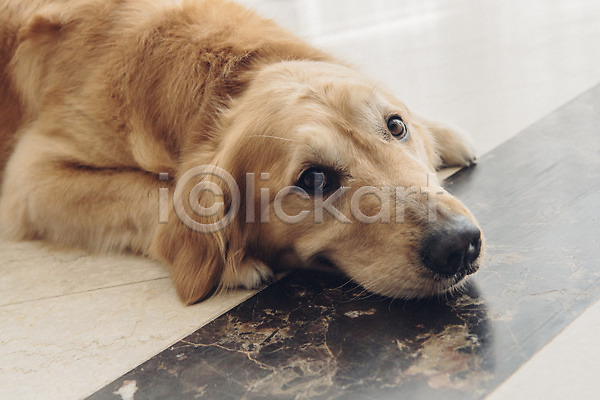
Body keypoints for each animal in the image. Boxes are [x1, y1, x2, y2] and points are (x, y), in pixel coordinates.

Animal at [0, 0, 483, 304]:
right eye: (314, 179)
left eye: (396, 126)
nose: (460, 245)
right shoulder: (30, 179)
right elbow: (154, 195)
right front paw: (232, 264)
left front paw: (440, 133)